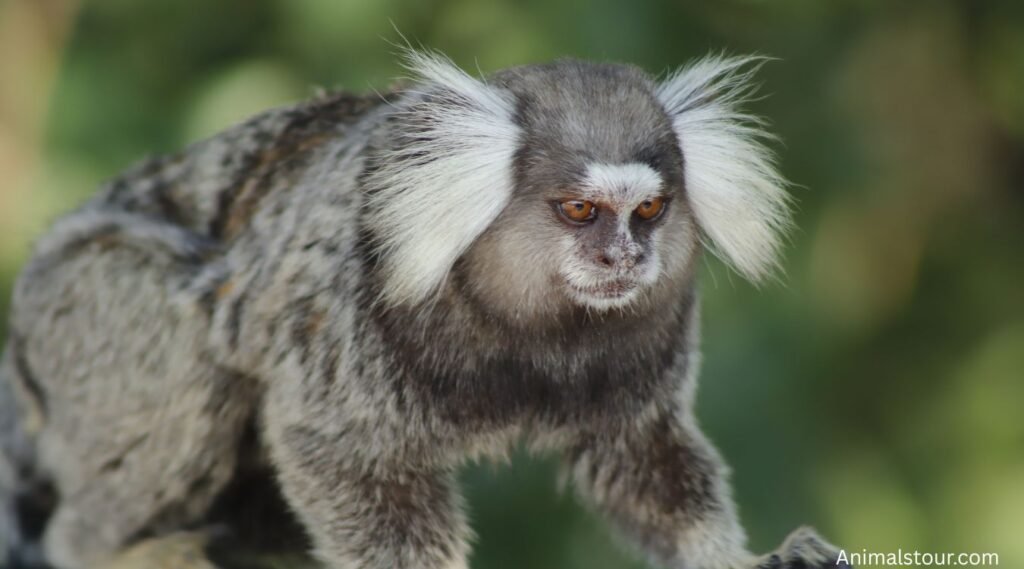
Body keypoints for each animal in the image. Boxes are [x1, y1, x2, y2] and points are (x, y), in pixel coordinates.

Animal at [0, 50, 852, 569]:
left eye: (649, 210)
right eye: (580, 210)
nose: (624, 258)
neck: (529, 329)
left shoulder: (653, 334)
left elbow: (643, 459)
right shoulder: (348, 309)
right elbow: (334, 452)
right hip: (80, 306)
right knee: (189, 339)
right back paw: (107, 543)